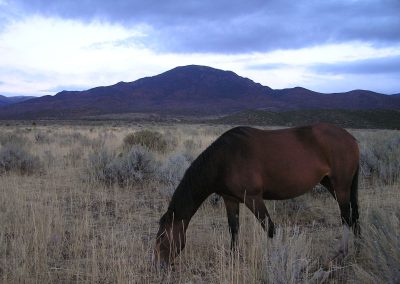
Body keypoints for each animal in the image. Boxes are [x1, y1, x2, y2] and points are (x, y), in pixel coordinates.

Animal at [155, 123, 360, 266]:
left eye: (162, 237)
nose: (159, 265)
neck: (225, 159)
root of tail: (351, 138)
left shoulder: (253, 198)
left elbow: (269, 228)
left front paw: (274, 258)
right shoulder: (230, 199)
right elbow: (234, 228)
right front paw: (233, 257)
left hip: (340, 186)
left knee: (346, 217)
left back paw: (341, 253)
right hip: (332, 184)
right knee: (354, 216)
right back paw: (358, 247)